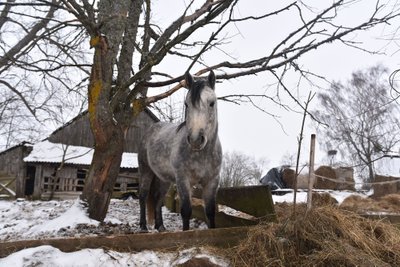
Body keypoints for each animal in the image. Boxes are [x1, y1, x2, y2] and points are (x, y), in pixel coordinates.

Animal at [138, 71, 222, 232]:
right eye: (186, 104)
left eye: (212, 103)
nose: (195, 139)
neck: (201, 155)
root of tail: (151, 129)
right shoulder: (183, 179)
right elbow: (186, 211)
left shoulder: (212, 181)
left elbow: (210, 211)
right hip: (146, 171)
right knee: (143, 196)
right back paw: (143, 227)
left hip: (164, 179)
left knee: (158, 199)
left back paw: (161, 227)